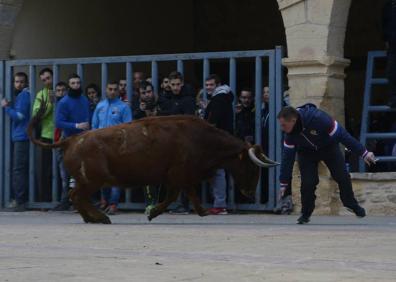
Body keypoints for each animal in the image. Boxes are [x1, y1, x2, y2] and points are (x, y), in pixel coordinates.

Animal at [27, 107, 278, 224]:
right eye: (252, 167)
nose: (250, 192)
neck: (202, 138)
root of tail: (71, 139)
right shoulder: (179, 175)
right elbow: (177, 195)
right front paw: (154, 213)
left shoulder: (176, 178)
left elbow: (181, 195)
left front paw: (198, 211)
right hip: (93, 181)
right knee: (78, 196)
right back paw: (101, 218)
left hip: (88, 181)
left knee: (74, 195)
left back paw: (92, 218)